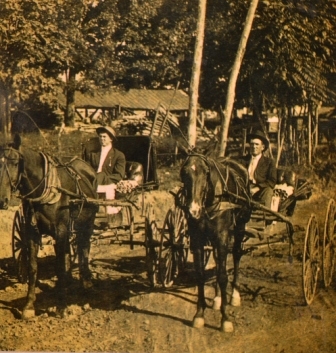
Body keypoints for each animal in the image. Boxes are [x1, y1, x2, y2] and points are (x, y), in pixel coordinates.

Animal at [0, 136, 97, 318]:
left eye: (15, 163)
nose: (2, 200)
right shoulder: (31, 232)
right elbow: (33, 267)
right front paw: (29, 306)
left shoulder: (61, 231)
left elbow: (59, 267)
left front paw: (62, 306)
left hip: (86, 224)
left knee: (84, 248)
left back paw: (86, 282)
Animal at [181, 151, 249, 330]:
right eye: (184, 173)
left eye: (206, 173)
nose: (193, 211)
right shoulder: (197, 238)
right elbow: (200, 274)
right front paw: (199, 314)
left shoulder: (222, 236)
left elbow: (223, 276)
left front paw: (225, 319)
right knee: (218, 260)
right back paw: (218, 298)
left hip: (240, 227)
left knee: (237, 255)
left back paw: (234, 295)